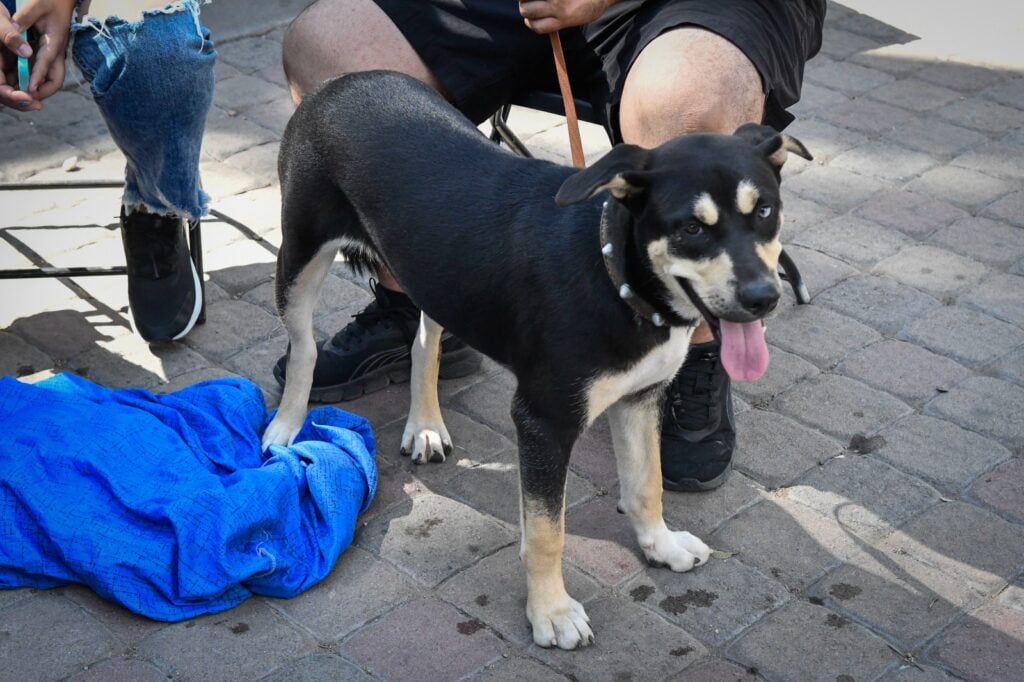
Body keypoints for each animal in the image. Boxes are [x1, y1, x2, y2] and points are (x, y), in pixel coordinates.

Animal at [264, 69, 806, 647]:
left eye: (764, 211)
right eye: (691, 228)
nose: (763, 298)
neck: (616, 278)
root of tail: (344, 82)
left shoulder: (640, 398)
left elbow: (647, 484)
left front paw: (660, 545)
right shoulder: (544, 421)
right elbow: (549, 531)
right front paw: (552, 611)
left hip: (437, 274)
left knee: (424, 340)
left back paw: (425, 425)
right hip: (299, 252)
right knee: (304, 348)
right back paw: (286, 427)